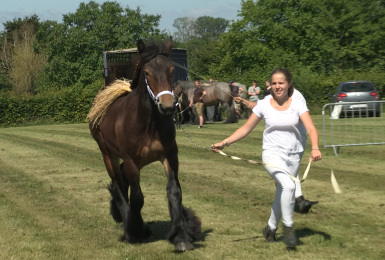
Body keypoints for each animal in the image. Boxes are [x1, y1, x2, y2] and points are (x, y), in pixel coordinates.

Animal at [87, 37, 201, 251]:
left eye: (171, 70)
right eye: (147, 73)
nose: (167, 107)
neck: (148, 122)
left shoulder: (169, 155)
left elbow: (174, 192)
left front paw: (181, 236)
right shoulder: (131, 160)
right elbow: (137, 197)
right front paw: (135, 231)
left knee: (122, 181)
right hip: (109, 155)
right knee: (119, 186)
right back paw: (129, 225)